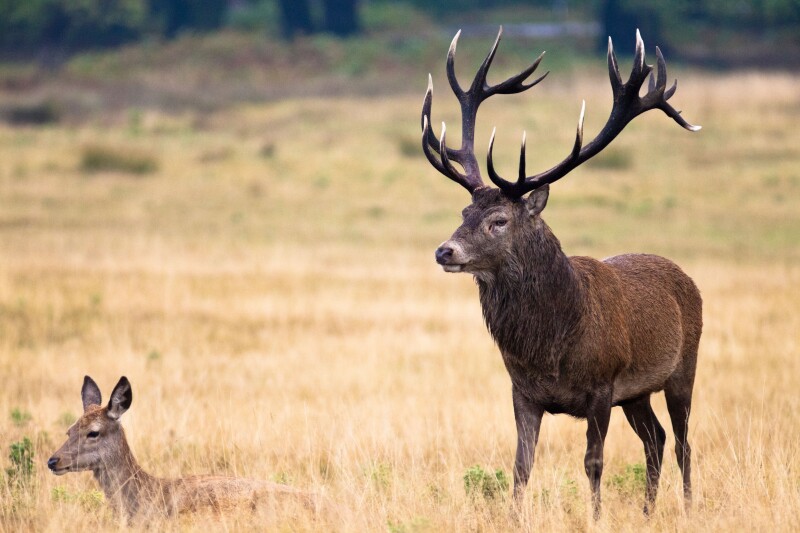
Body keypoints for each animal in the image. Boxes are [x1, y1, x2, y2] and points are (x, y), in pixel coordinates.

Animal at [421, 28, 702, 519]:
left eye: (500, 220)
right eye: (464, 212)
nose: (445, 250)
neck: (550, 345)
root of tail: (687, 279)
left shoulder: (602, 386)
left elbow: (593, 462)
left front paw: (596, 518)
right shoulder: (523, 391)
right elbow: (520, 466)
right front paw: (513, 519)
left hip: (683, 368)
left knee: (683, 441)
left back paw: (687, 508)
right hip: (637, 393)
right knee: (656, 438)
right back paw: (647, 513)